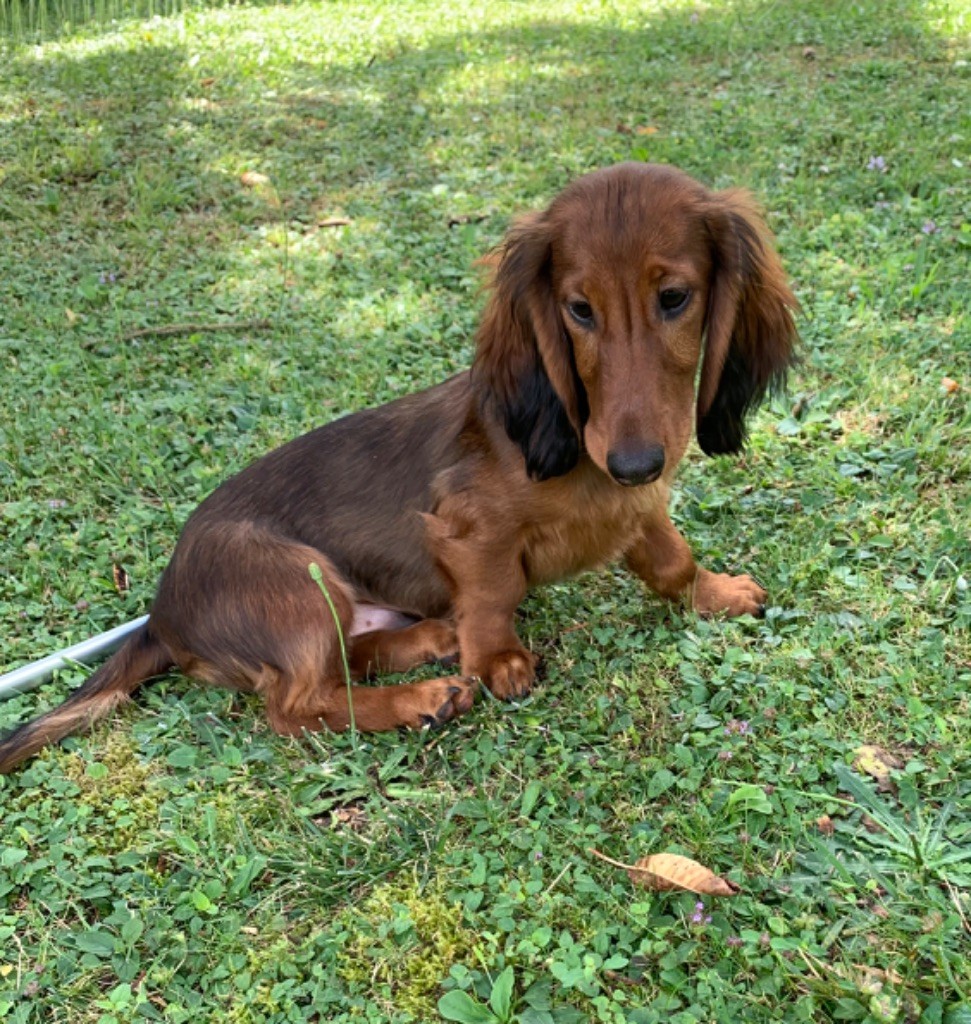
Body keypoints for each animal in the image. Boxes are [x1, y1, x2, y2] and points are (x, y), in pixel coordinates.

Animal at [0, 162, 797, 772]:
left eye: (674, 298)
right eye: (578, 310)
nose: (634, 462)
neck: (577, 452)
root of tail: (163, 615)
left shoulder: (639, 511)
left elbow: (670, 560)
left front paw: (715, 593)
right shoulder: (466, 529)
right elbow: (493, 592)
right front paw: (498, 660)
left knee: (350, 661)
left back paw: (431, 645)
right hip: (297, 583)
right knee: (298, 706)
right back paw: (424, 695)